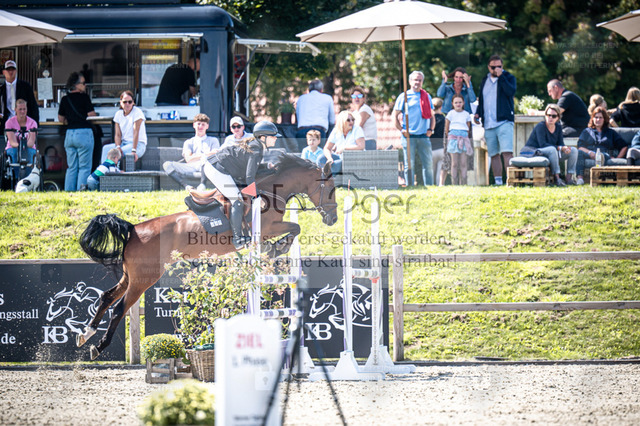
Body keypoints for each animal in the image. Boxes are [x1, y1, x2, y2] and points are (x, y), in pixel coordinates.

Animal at [77, 154, 338, 359]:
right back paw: (98, 347)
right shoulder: (269, 227)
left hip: (131, 276)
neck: (271, 192)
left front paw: (275, 247)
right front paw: (278, 247)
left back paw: (85, 334)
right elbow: (295, 227)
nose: (333, 219)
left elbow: (294, 228)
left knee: (107, 296)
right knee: (120, 307)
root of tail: (133, 230)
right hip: (144, 278)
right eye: (330, 191)